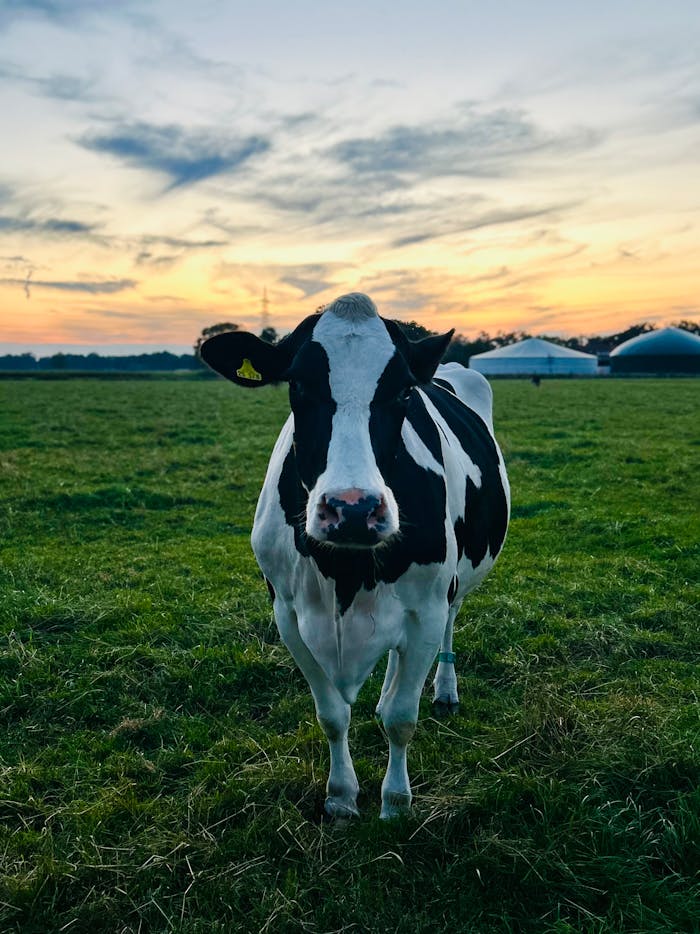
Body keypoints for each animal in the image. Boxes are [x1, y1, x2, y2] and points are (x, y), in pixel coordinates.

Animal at [200, 293, 509, 819]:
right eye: (297, 384)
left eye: (403, 391)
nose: (353, 509)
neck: (345, 573)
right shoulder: (288, 614)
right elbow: (332, 716)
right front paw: (342, 797)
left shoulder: (426, 609)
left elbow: (402, 719)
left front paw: (396, 802)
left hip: (454, 583)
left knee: (450, 622)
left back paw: (445, 689)